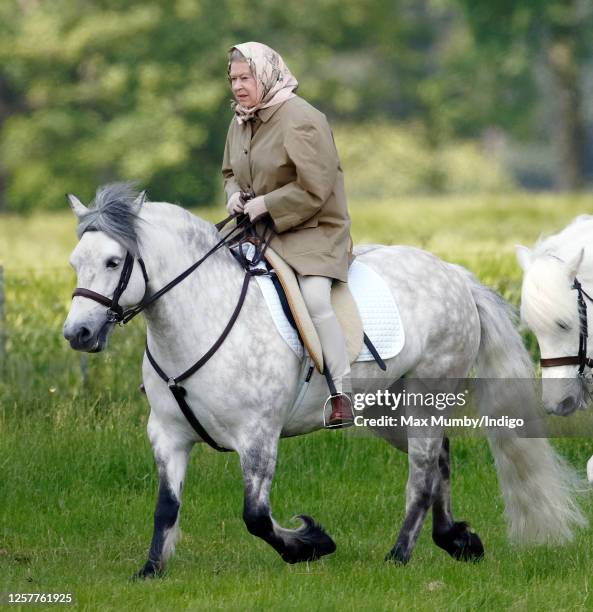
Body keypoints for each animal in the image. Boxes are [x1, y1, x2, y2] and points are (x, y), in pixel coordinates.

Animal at [62, 184, 580, 576]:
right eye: (74, 262)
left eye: (113, 262)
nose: (77, 334)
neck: (200, 319)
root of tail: (453, 274)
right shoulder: (167, 435)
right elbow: (166, 506)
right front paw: (150, 570)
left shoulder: (258, 436)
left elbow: (256, 517)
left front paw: (310, 544)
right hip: (387, 410)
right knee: (439, 459)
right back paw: (455, 539)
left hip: (426, 394)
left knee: (421, 474)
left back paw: (399, 556)